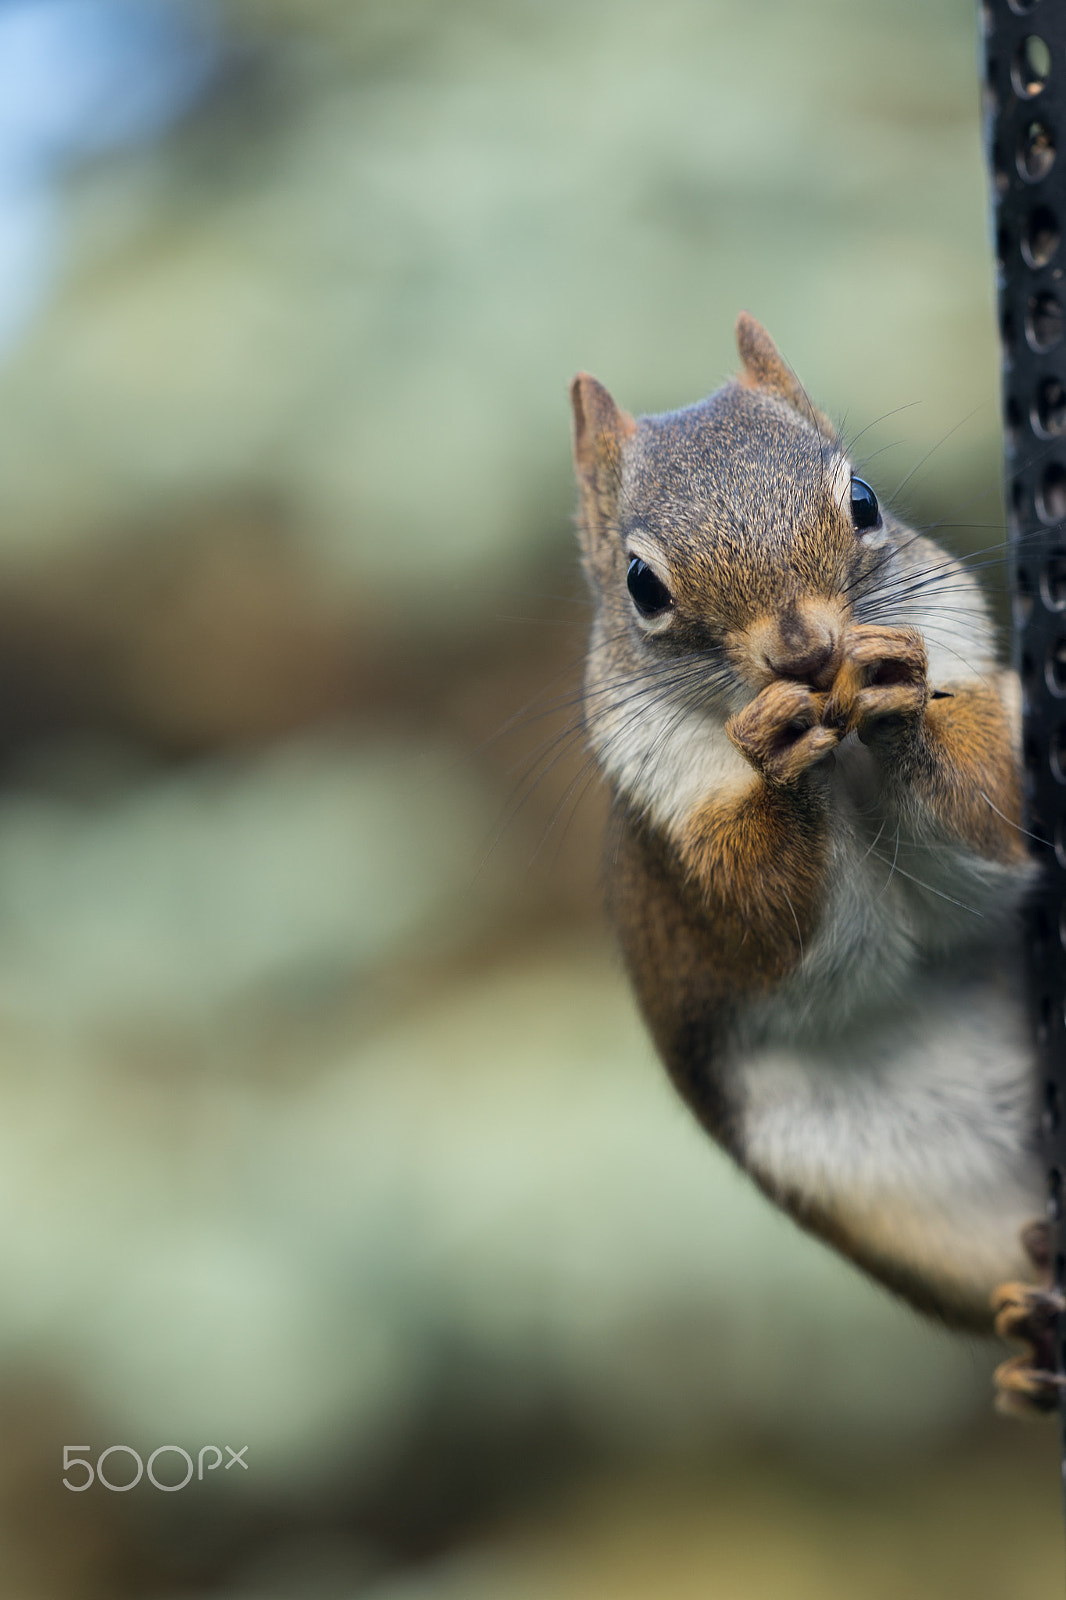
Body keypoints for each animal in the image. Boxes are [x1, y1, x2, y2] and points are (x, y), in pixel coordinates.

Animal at [569, 313, 1060, 1417]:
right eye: (642, 585)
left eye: (864, 500)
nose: (804, 652)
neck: (847, 760)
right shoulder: (680, 855)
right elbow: (763, 909)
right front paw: (774, 746)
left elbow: (991, 810)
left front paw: (894, 692)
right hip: (901, 1209)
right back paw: (1048, 1334)